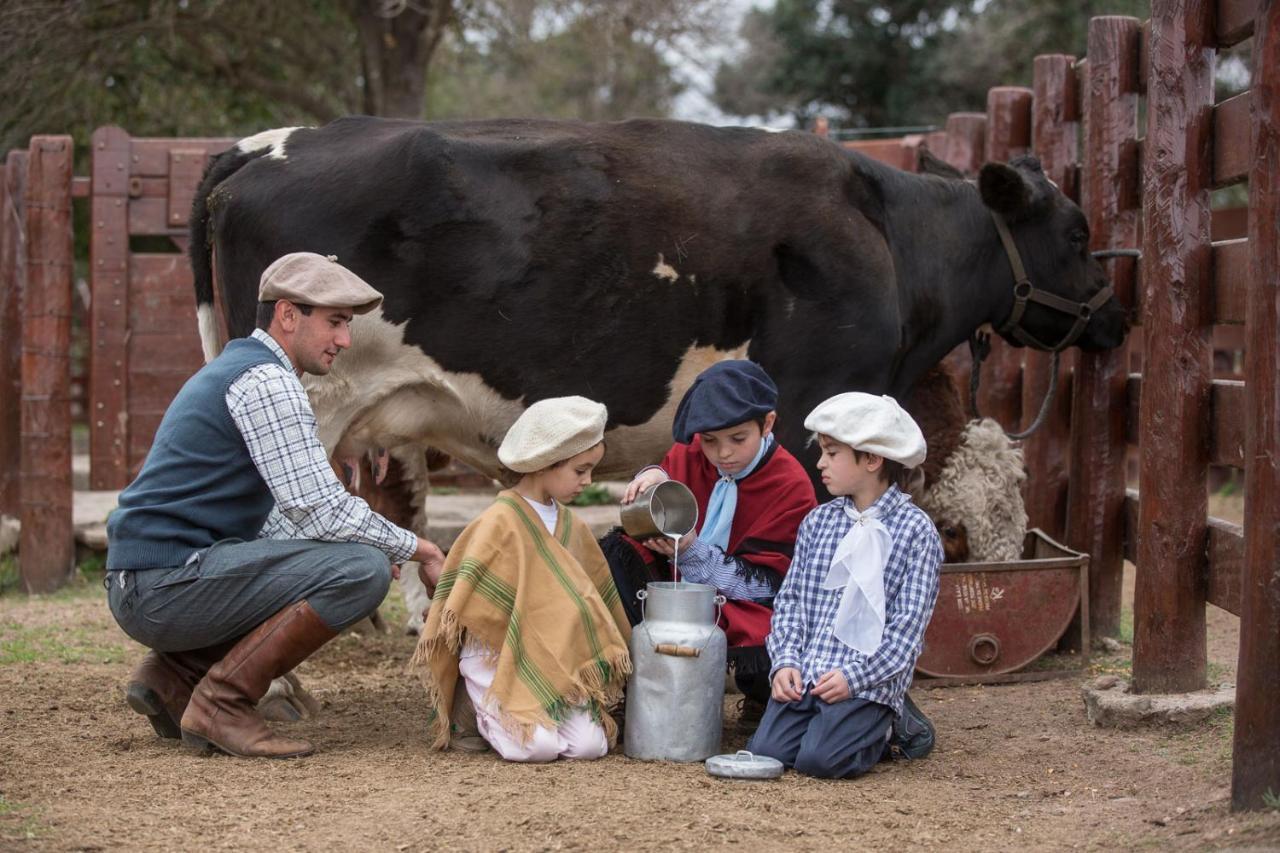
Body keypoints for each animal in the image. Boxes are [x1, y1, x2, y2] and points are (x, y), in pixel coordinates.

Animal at [186, 117, 1121, 625]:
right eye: (1077, 232)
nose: (1116, 311)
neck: (887, 235)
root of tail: (259, 146)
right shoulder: (811, 402)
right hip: (304, 403)